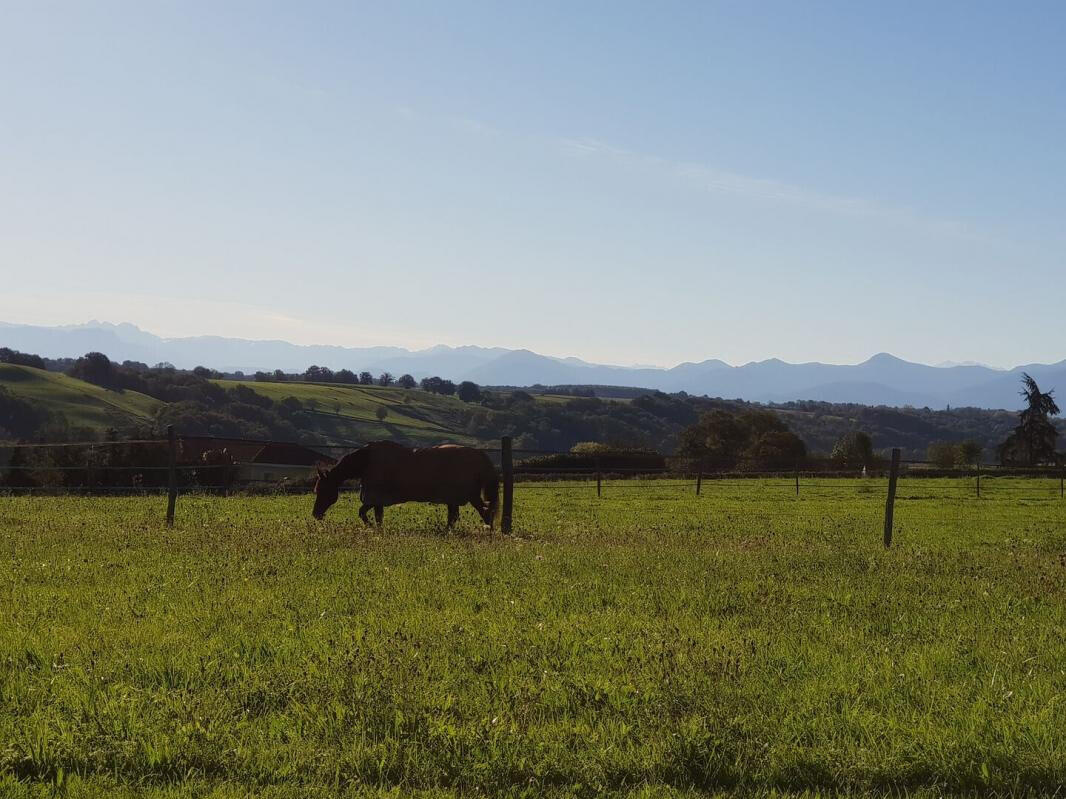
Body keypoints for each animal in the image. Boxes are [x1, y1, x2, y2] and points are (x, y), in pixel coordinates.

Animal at [311, 445, 501, 532]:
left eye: (322, 490)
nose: (315, 514)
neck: (366, 462)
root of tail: (480, 456)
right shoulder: (377, 500)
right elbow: (378, 517)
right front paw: (378, 529)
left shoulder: (374, 498)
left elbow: (363, 513)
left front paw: (371, 527)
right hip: (456, 498)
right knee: (458, 516)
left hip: (468, 496)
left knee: (484, 512)